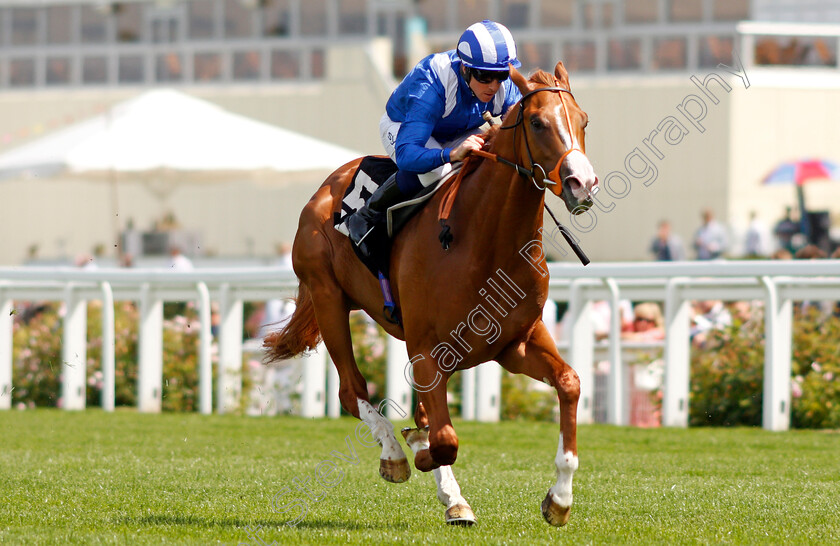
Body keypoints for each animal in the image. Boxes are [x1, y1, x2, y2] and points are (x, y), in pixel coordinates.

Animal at [266, 61, 600, 524]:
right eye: (537, 122)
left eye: (584, 121)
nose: (582, 183)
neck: (487, 240)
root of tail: (328, 185)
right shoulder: (426, 347)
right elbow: (445, 441)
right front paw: (422, 459)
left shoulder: (515, 343)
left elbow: (569, 383)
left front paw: (560, 500)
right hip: (327, 296)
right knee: (352, 390)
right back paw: (396, 456)